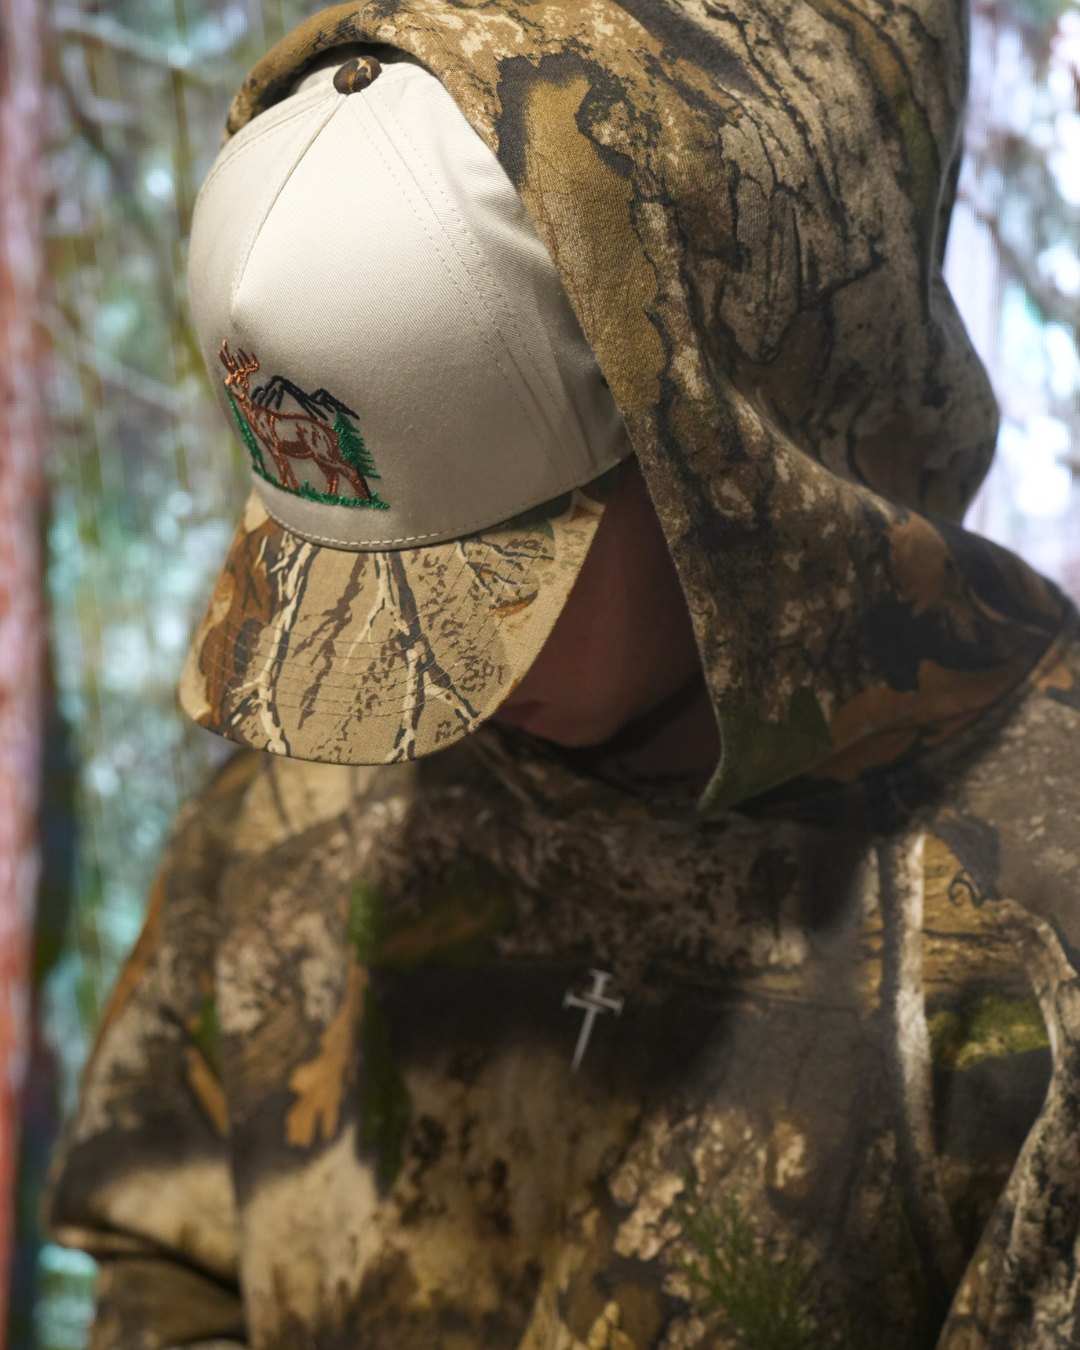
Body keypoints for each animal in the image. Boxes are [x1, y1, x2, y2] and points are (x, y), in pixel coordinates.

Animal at [218, 341, 373, 501]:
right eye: (232, 379)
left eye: (241, 381)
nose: (228, 383)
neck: (258, 416)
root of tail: (331, 433)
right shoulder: (273, 446)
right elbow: (285, 466)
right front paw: (292, 487)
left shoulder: (274, 444)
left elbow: (283, 467)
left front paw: (287, 485)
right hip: (320, 455)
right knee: (333, 474)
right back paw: (330, 495)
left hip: (322, 452)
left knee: (347, 469)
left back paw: (361, 498)